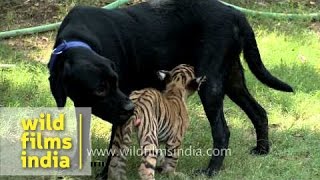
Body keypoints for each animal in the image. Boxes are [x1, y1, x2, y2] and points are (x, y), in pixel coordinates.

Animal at [47, 0, 292, 177]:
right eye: (99, 89)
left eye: (115, 82)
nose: (130, 108)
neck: (79, 39)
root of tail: (236, 14)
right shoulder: (84, 106)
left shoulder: (119, 115)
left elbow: (114, 149)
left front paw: (105, 174)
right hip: (233, 79)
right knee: (259, 112)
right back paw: (262, 150)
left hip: (211, 84)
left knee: (222, 130)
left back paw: (210, 171)